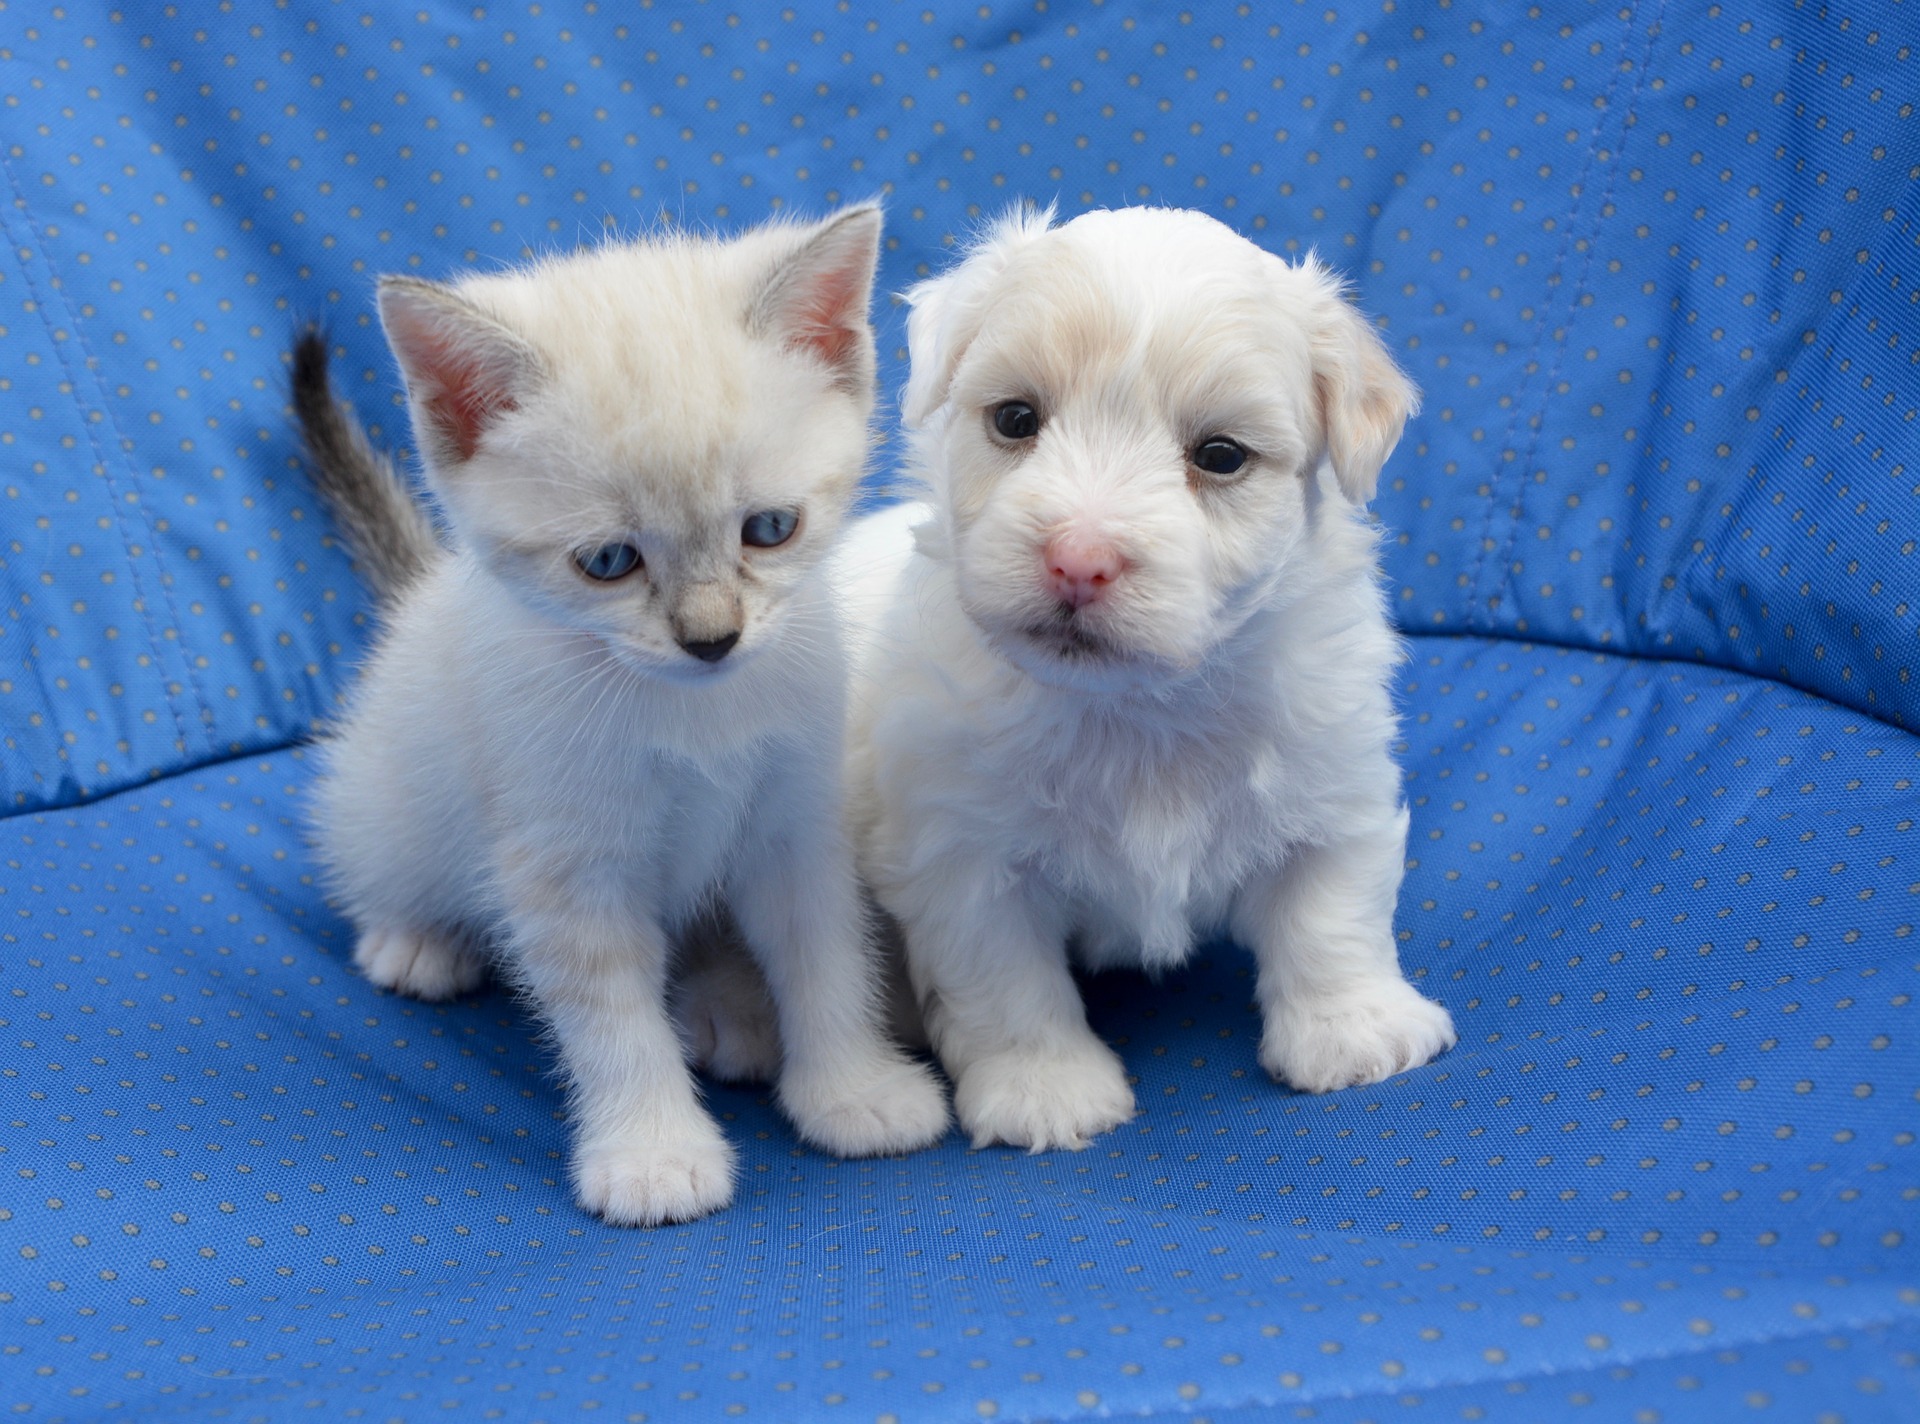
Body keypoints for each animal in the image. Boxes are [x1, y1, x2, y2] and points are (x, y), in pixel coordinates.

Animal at [293, 209, 952, 1228]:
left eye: (770, 529)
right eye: (608, 561)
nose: (712, 639)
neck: (694, 714)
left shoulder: (798, 821)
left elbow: (826, 955)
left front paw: (854, 1091)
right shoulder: (565, 862)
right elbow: (613, 1021)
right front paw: (653, 1155)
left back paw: (731, 1010)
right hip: (390, 796)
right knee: (376, 854)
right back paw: (417, 940)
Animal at [840, 206, 1451, 1151]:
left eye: (1222, 455)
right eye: (1015, 418)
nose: (1078, 559)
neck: (1138, 706)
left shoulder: (1332, 779)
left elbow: (1332, 913)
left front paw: (1354, 1031)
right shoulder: (961, 853)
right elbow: (1005, 981)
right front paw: (1046, 1088)